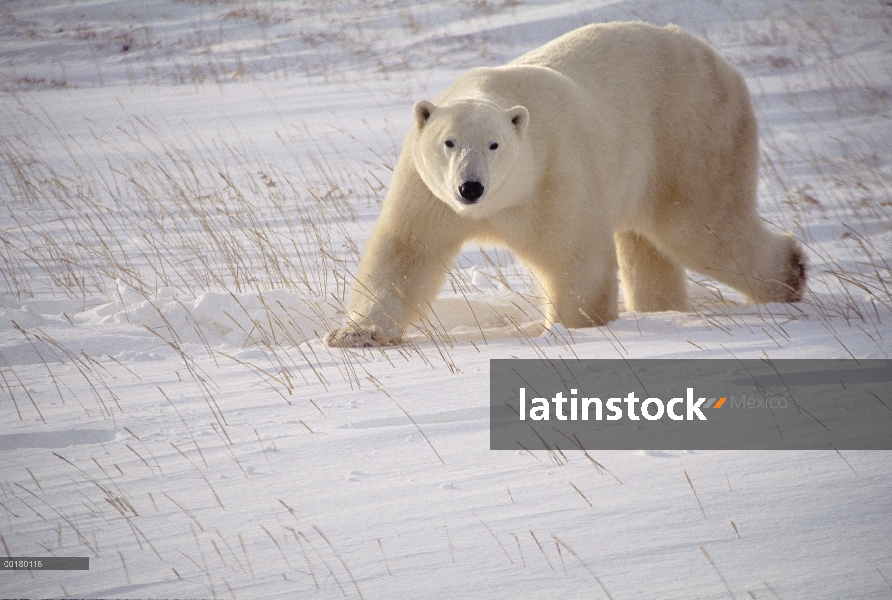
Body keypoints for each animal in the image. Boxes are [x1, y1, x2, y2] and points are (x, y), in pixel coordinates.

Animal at [324, 22, 804, 346]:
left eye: (494, 144)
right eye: (449, 142)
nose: (471, 188)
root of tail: (722, 63)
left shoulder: (553, 175)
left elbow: (574, 253)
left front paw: (574, 327)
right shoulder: (429, 193)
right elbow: (406, 250)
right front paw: (356, 335)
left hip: (690, 137)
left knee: (702, 226)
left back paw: (790, 275)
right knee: (649, 243)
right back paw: (662, 308)